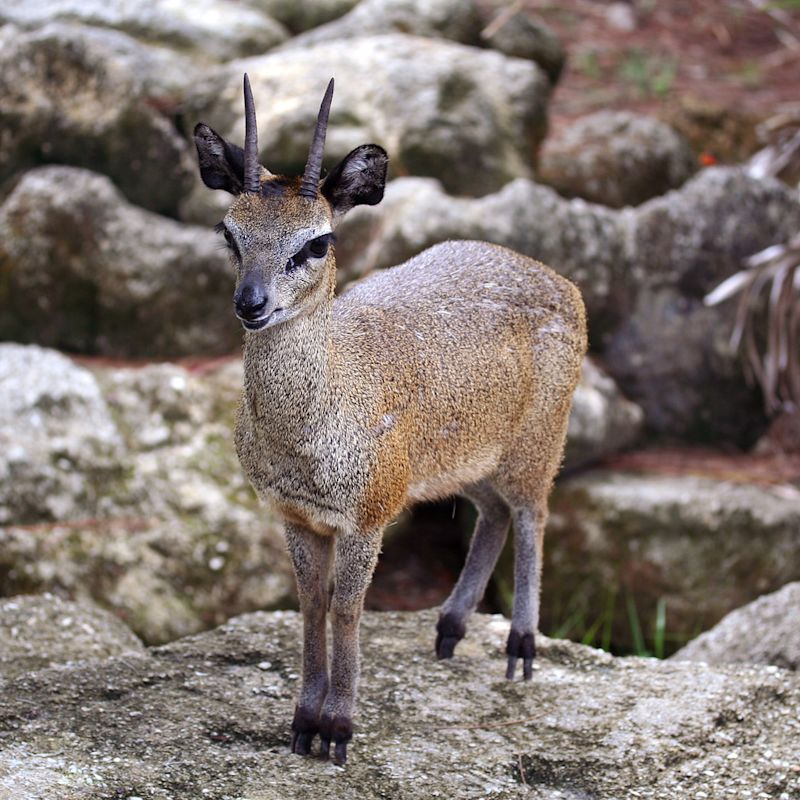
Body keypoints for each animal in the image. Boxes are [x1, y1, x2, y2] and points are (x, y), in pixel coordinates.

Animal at [195, 76, 588, 768]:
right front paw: (301, 723)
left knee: (532, 513)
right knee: (491, 513)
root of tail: (566, 286)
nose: (251, 304)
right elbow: (311, 604)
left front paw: (338, 729)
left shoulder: (371, 514)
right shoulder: (297, 516)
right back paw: (448, 629)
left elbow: (349, 608)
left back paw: (520, 649)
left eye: (317, 241)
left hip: (537, 443)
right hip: (463, 462)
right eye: (229, 232)